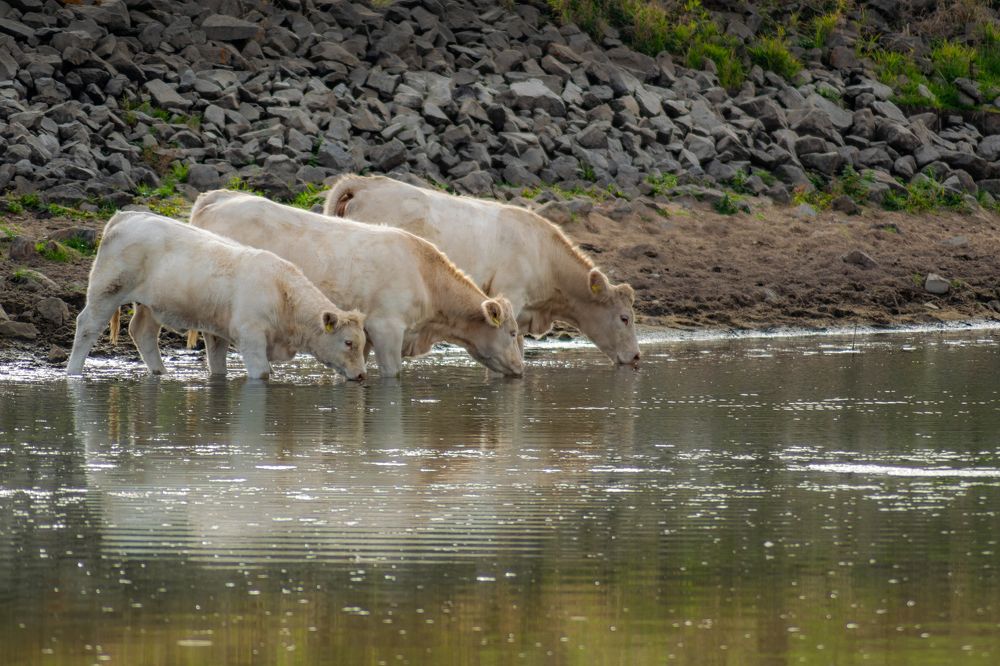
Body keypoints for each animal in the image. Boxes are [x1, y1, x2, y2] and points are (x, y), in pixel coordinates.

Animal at [66, 211, 368, 381]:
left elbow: (218, 365)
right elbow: (262, 374)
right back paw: (74, 373)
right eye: (348, 342)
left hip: (150, 304)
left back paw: (161, 373)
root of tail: (126, 215)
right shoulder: (250, 336)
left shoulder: (218, 330)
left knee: (142, 332)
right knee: (87, 326)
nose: (362, 375)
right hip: (107, 288)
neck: (283, 296)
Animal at [189, 190, 524, 378]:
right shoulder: (387, 326)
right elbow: (392, 373)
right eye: (512, 332)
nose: (521, 368)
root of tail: (219, 197)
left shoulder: (363, 333)